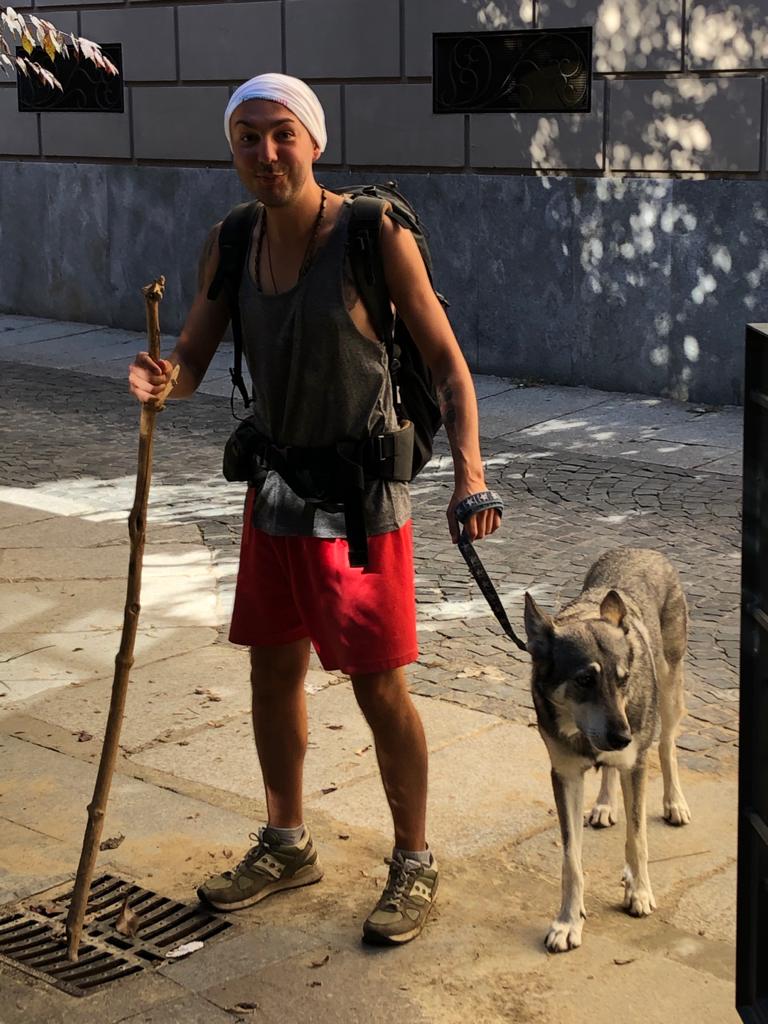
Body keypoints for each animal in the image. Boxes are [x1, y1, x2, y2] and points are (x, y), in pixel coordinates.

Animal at [524, 547, 691, 953]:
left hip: (669, 693)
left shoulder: (635, 763)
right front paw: (568, 921)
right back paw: (603, 805)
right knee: (610, 771)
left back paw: (674, 803)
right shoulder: (565, 775)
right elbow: (571, 860)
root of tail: (643, 549)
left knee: (667, 747)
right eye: (585, 679)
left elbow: (637, 839)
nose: (623, 737)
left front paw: (639, 892)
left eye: (623, 679)